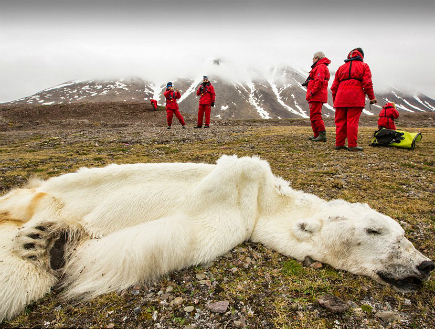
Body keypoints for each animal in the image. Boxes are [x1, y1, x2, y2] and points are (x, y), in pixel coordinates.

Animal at [0, 155, 435, 320]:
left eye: (403, 233)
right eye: (375, 229)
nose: (425, 264)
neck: (262, 200)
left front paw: (55, 244)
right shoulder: (235, 200)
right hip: (40, 194)